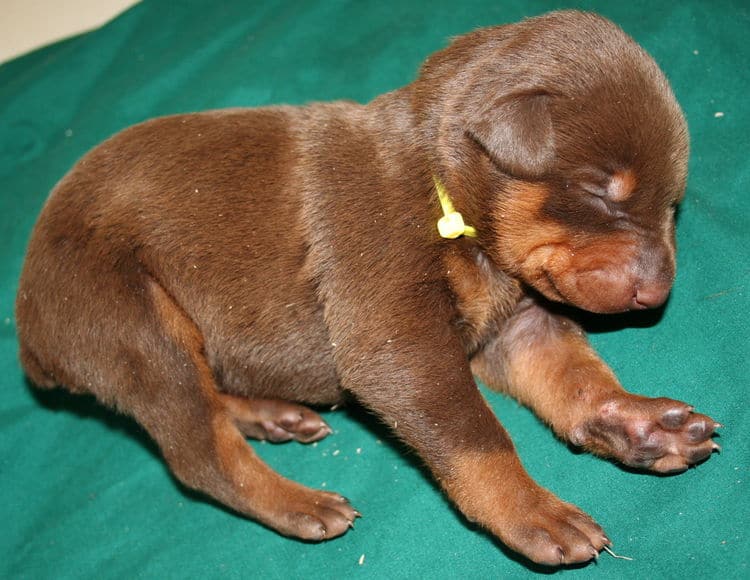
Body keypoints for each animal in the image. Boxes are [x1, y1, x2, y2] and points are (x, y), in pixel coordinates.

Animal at [19, 11, 724, 568]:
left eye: (673, 203)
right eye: (604, 191)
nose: (658, 294)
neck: (442, 191)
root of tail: (30, 333)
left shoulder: (520, 326)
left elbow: (577, 380)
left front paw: (639, 425)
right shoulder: (398, 339)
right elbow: (476, 436)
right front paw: (533, 512)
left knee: (210, 399)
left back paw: (271, 414)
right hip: (134, 321)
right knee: (199, 451)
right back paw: (299, 503)